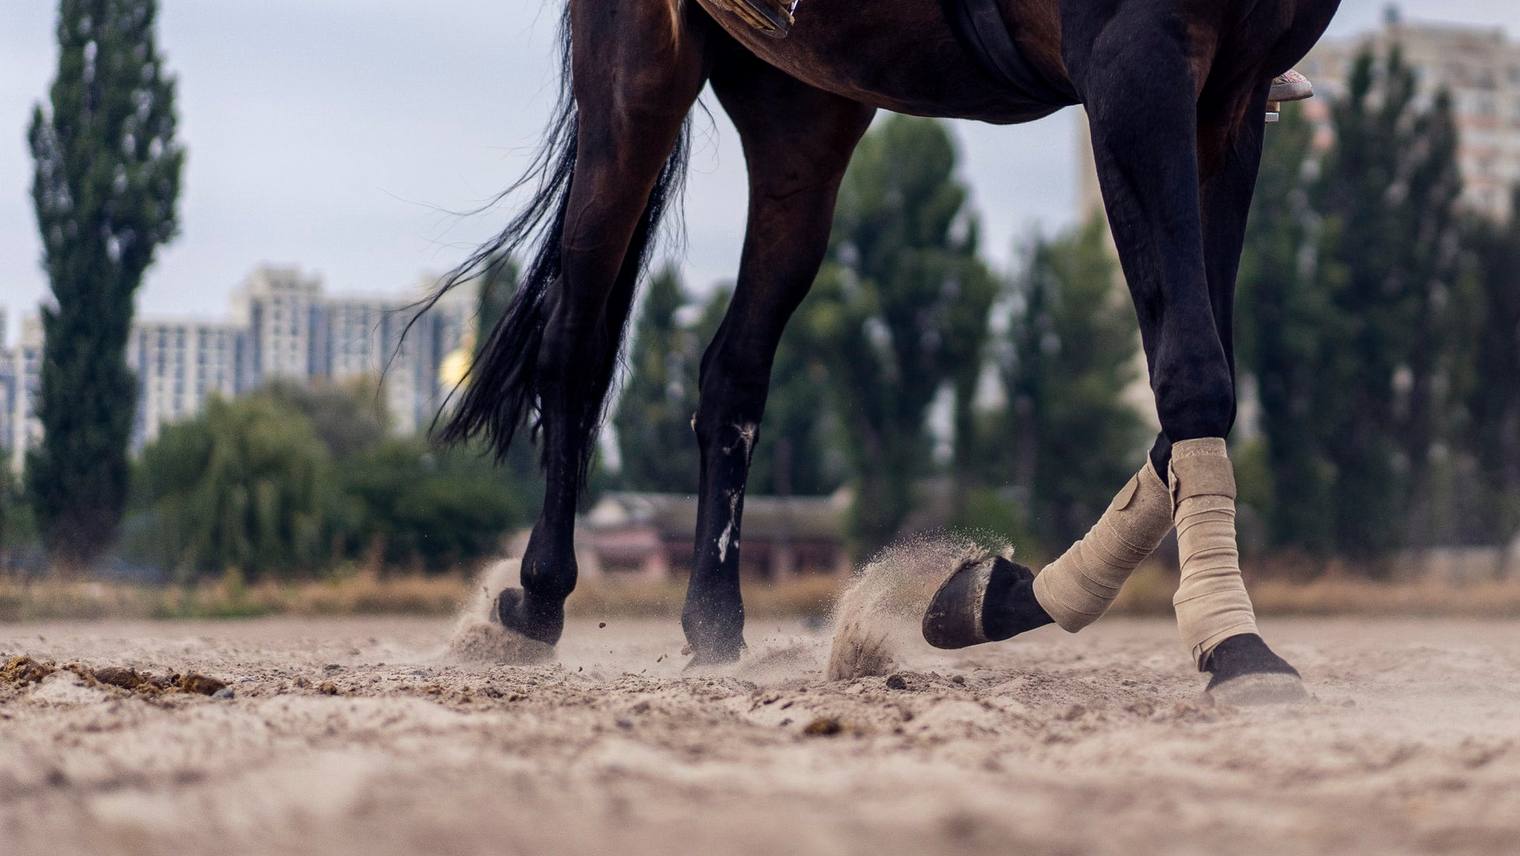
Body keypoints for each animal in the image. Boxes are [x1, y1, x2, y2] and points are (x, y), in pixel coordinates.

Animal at [424, 0, 1343, 701]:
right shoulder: (1136, 62)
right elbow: (1192, 369)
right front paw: (1236, 647)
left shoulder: (1232, 93)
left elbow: (1196, 373)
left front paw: (994, 596)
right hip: (637, 78)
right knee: (573, 339)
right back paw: (537, 600)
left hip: (803, 111)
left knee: (733, 370)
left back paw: (716, 626)